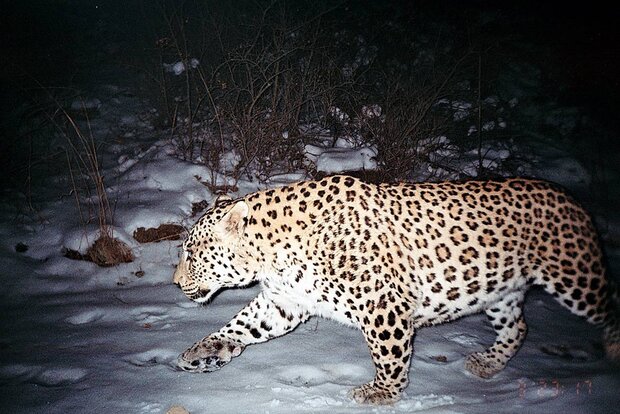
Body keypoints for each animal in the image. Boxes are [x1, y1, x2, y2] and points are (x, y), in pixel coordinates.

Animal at [173, 175, 620, 404]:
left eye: (192, 253)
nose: (175, 282)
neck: (272, 253)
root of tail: (567, 194)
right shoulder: (284, 301)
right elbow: (243, 325)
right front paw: (204, 351)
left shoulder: (383, 305)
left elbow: (389, 355)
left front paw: (383, 392)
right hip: (497, 290)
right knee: (518, 327)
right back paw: (488, 364)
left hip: (574, 278)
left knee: (609, 304)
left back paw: (614, 348)